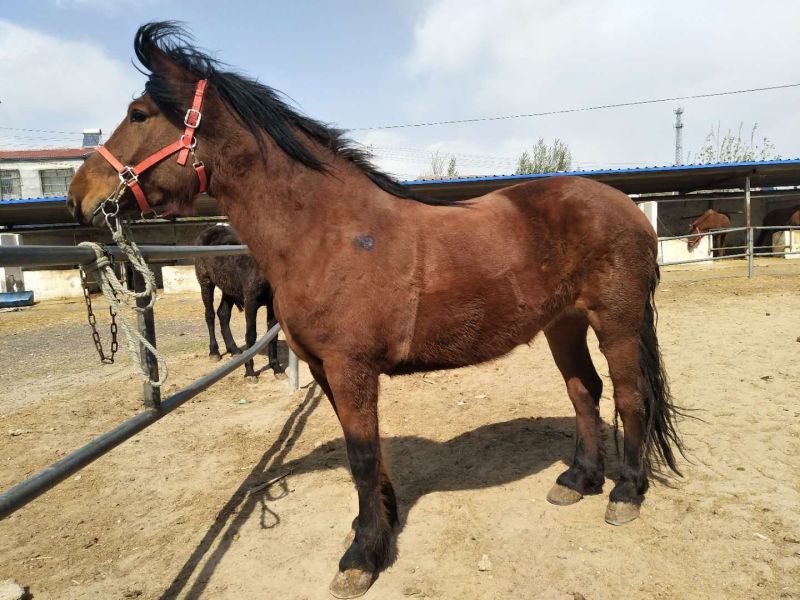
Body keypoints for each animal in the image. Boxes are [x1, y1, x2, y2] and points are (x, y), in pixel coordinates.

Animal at [194, 224, 284, 379]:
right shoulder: (250, 303)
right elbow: (251, 336)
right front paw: (250, 372)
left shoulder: (272, 305)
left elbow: (272, 336)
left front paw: (276, 368)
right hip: (205, 282)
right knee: (210, 315)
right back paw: (214, 352)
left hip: (229, 289)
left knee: (223, 314)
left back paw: (234, 349)